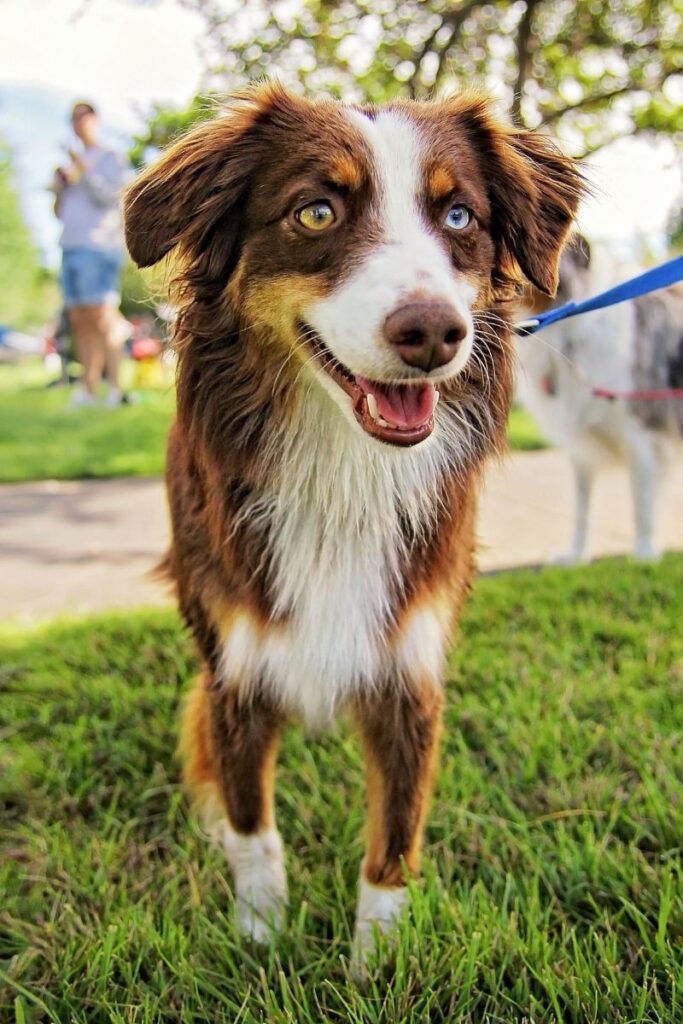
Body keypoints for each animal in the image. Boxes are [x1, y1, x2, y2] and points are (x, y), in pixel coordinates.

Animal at [124, 81, 581, 966]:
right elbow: (252, 821)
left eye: (459, 216)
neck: (343, 473)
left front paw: (377, 963)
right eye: (316, 212)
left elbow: (393, 840)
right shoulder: (237, 664)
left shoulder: (409, 665)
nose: (433, 332)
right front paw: (261, 935)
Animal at [518, 236, 683, 565]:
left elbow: (641, 502)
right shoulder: (582, 446)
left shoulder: (642, 431)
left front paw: (644, 555)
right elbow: (583, 509)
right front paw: (575, 556)